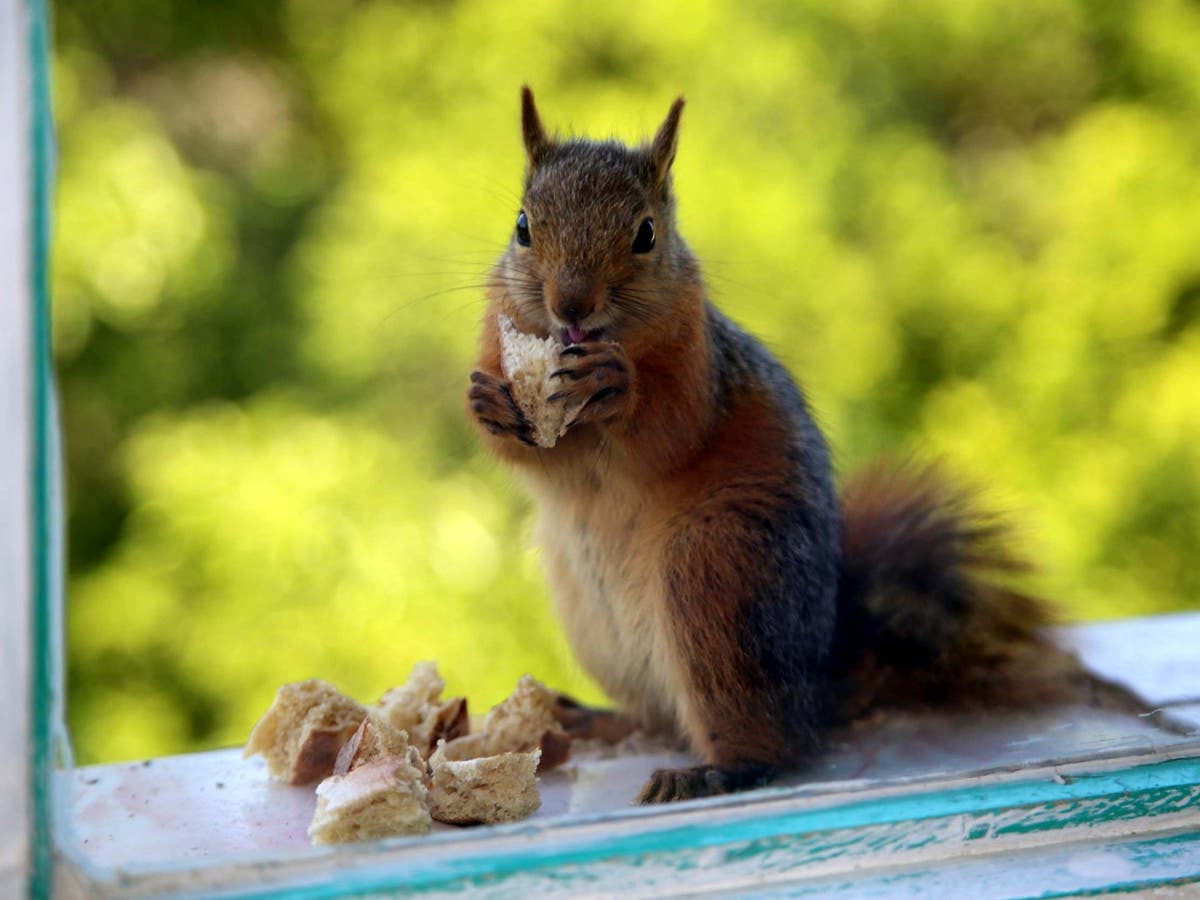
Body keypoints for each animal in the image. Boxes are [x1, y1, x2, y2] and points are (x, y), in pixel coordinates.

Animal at [467, 88, 1148, 803]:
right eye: (523, 226)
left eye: (646, 234)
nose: (571, 305)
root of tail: (820, 683)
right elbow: (539, 454)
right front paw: (489, 404)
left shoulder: (700, 364)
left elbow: (670, 431)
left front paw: (616, 383)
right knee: (658, 716)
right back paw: (600, 720)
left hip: (717, 572)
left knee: (772, 742)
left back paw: (715, 769)